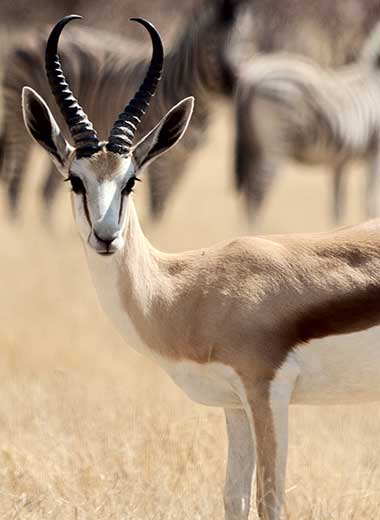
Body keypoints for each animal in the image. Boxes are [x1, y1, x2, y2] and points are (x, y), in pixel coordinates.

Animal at [0, 0, 245, 216]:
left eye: (245, 34)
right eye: (212, 38)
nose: (230, 80)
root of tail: (27, 40)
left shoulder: (182, 158)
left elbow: (163, 206)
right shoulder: (161, 165)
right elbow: (156, 206)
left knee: (45, 191)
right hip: (19, 128)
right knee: (15, 185)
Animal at [20, 13, 380, 520]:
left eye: (131, 181)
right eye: (75, 179)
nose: (106, 237)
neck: (188, 290)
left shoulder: (267, 391)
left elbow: (270, 500)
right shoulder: (234, 405)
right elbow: (235, 498)